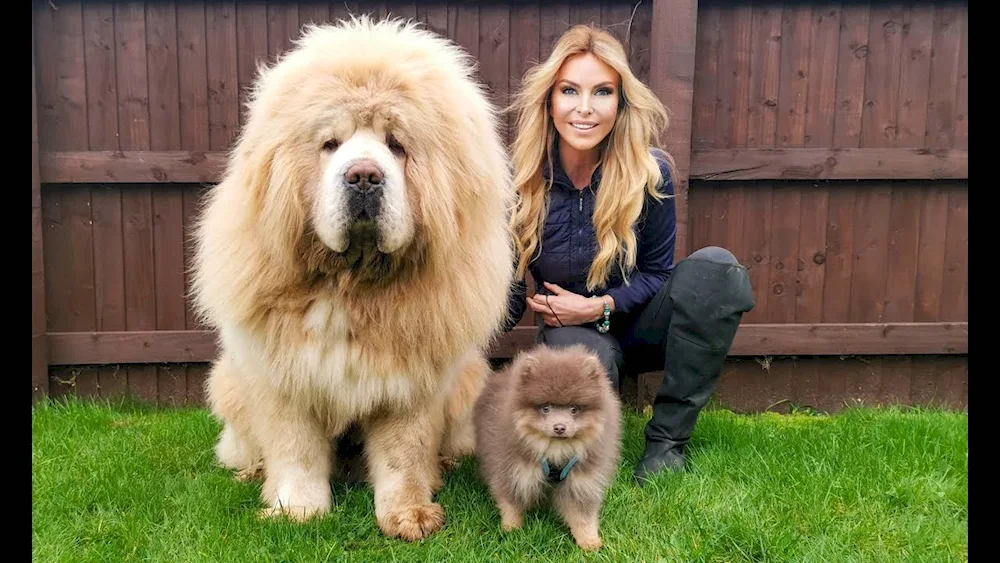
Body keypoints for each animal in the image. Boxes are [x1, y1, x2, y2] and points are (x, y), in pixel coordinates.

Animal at [189, 15, 516, 540]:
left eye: (397, 146)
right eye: (331, 144)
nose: (363, 176)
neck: (352, 285)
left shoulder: (411, 380)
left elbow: (403, 453)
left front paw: (409, 514)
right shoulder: (285, 375)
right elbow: (296, 451)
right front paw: (296, 510)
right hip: (230, 383)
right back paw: (252, 472)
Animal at [472, 344, 620, 552]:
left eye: (574, 409)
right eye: (546, 408)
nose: (559, 427)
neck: (555, 451)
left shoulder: (581, 480)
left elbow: (582, 515)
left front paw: (590, 542)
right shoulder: (514, 470)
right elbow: (511, 502)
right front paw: (511, 529)